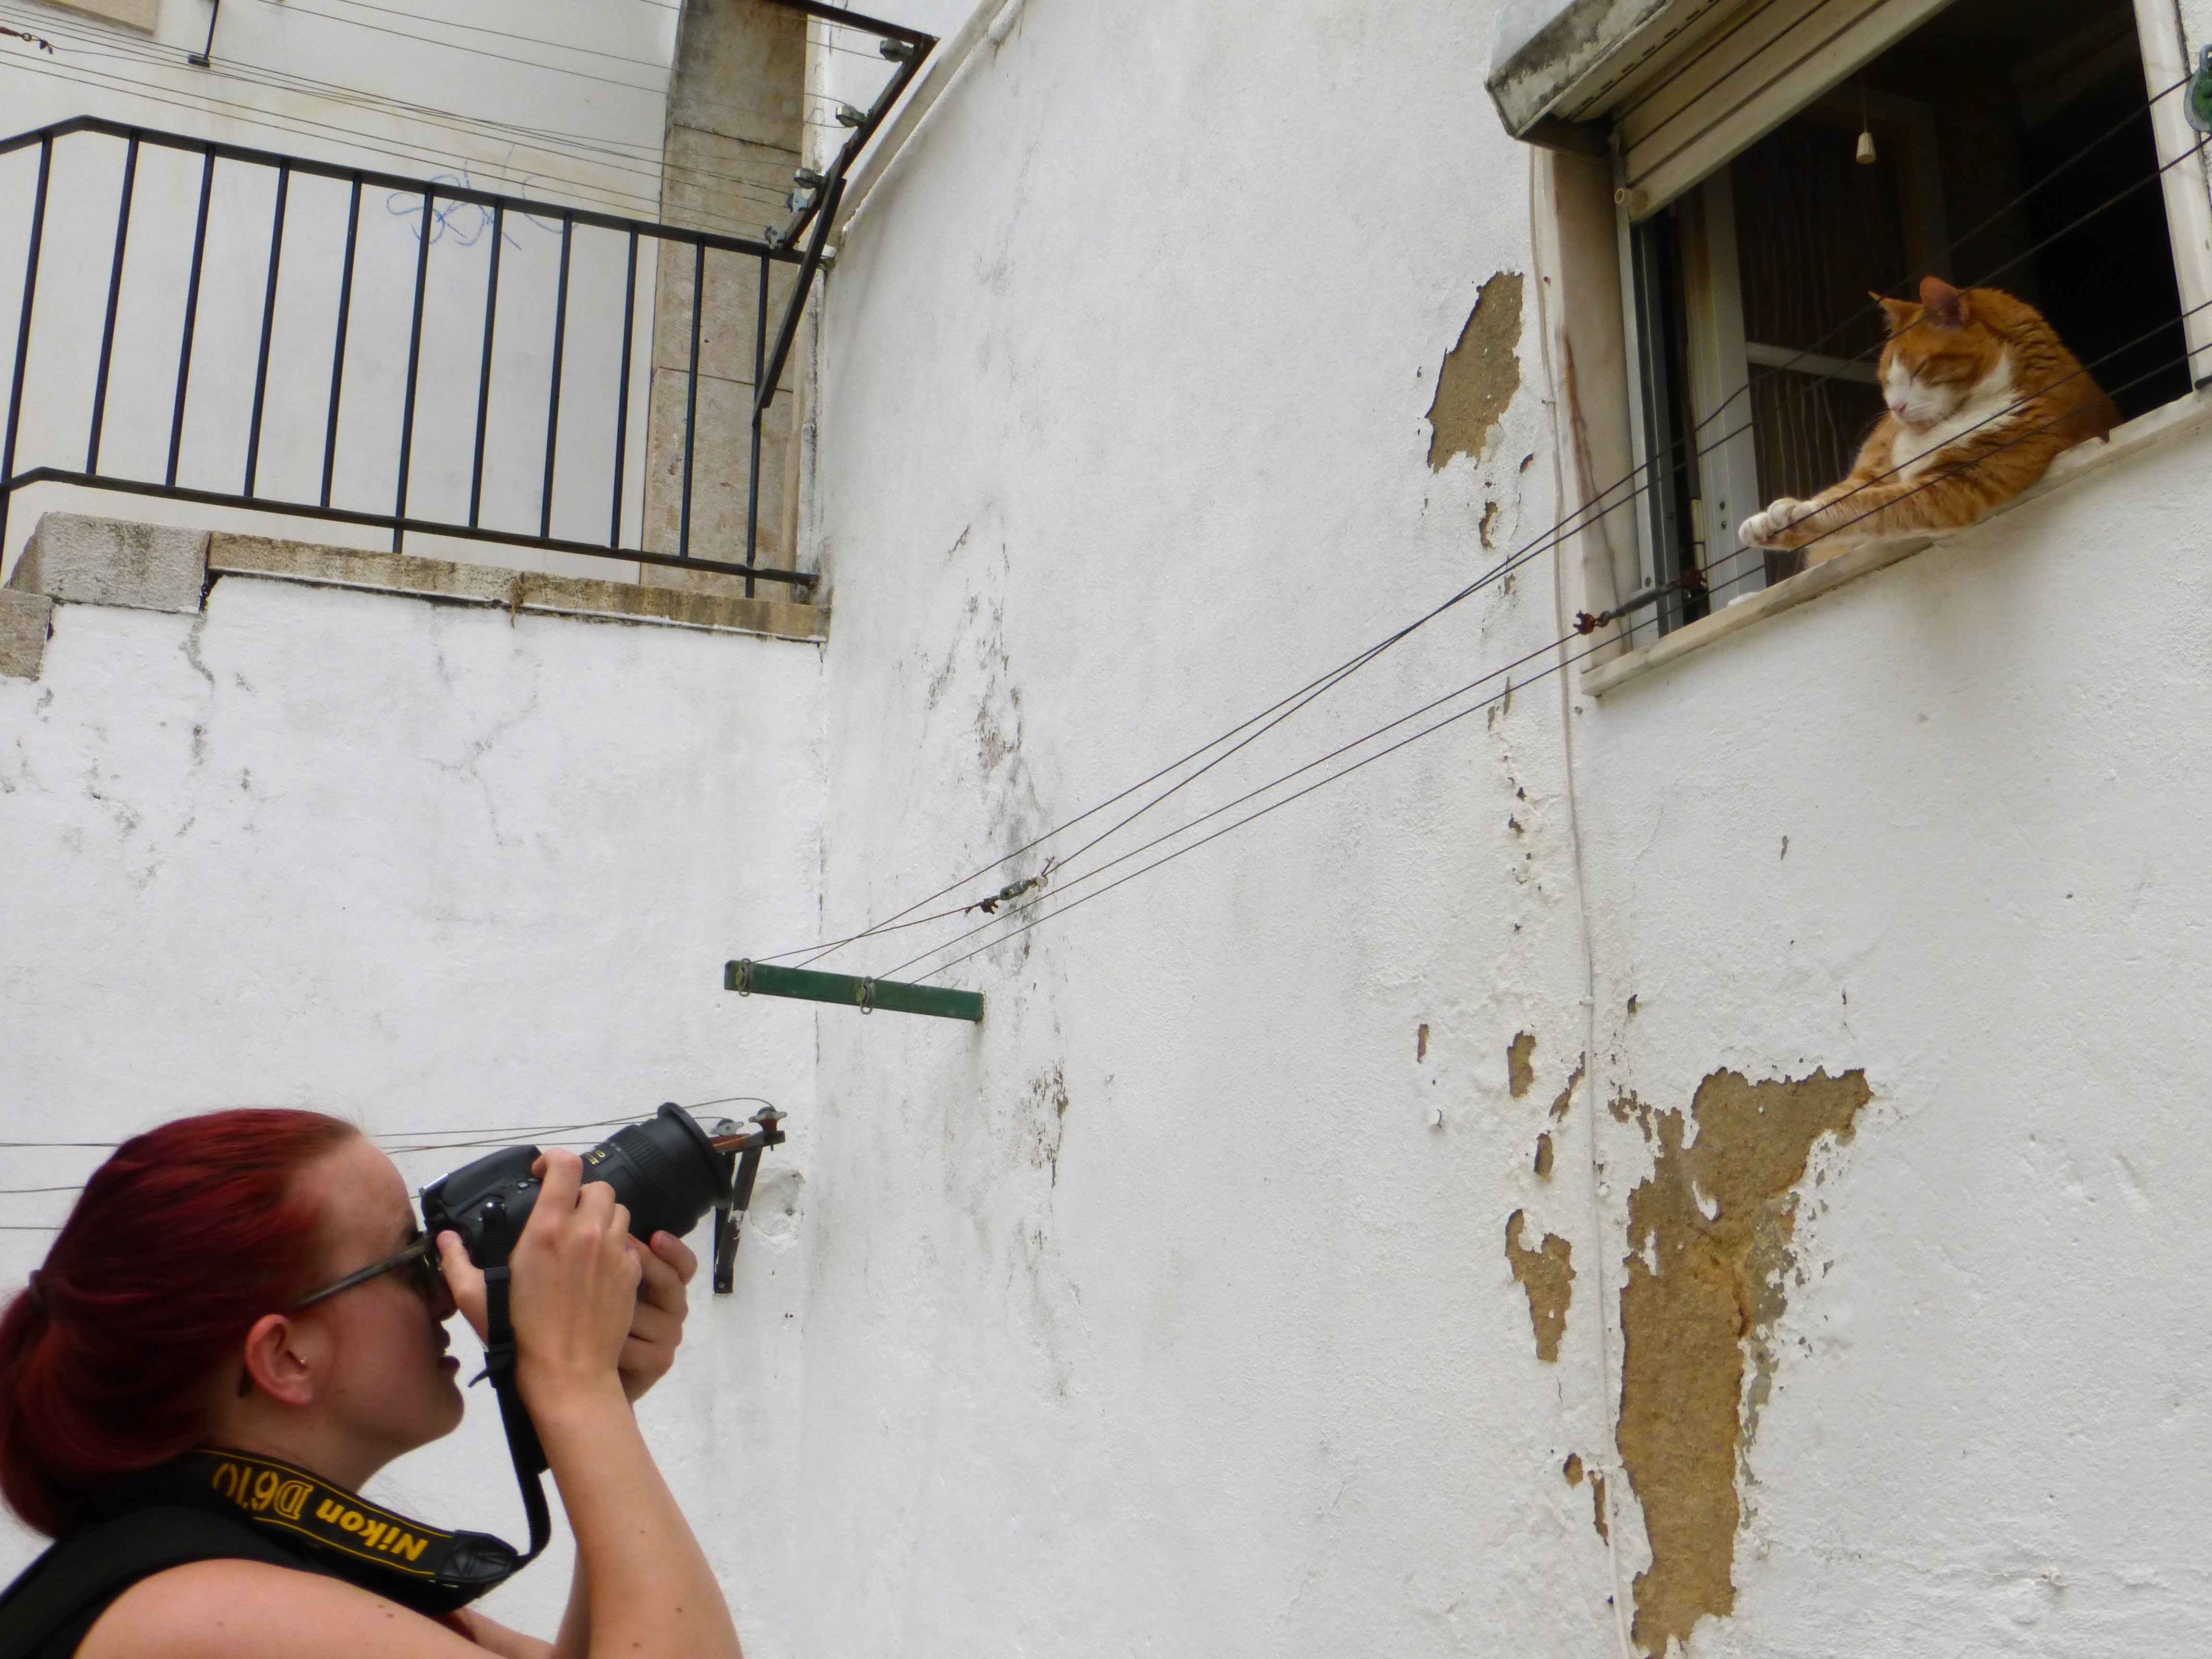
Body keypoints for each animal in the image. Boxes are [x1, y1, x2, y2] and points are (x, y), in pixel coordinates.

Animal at [1734, 273, 2115, 559]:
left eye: (1919, 370)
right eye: (1887, 380)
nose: (1896, 409)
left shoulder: (1955, 484)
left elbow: (1874, 505)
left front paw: (1803, 516)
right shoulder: (1875, 471)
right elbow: (1845, 492)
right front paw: (1771, 522)